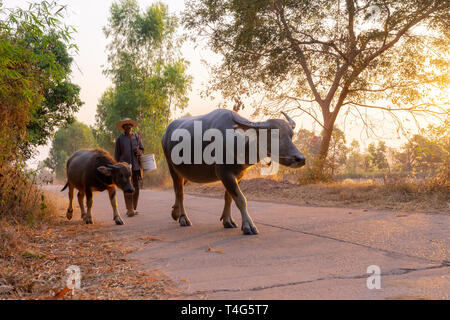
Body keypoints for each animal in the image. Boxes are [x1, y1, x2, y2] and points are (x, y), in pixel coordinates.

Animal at [162, 109, 306, 234]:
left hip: (184, 173)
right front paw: (248, 226)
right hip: (172, 168)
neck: (237, 143)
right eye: (275, 135)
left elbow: (229, 197)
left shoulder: (239, 175)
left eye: (291, 135)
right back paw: (183, 218)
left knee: (179, 189)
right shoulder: (224, 173)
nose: (300, 158)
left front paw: (227, 221)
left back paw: (175, 212)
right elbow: (241, 199)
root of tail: (165, 134)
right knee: (180, 192)